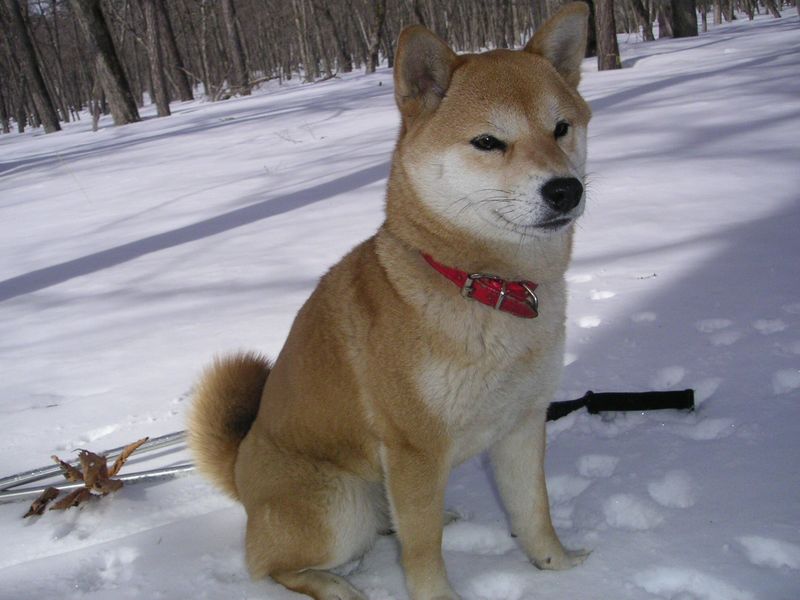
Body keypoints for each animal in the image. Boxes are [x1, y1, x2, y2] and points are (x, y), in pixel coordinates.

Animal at [188, 3, 592, 599]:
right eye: (488, 142)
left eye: (561, 128)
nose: (565, 190)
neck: (485, 285)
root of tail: (243, 475)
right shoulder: (415, 449)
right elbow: (423, 551)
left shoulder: (522, 425)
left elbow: (534, 514)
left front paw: (562, 571)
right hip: (340, 508)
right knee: (272, 566)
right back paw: (334, 584)